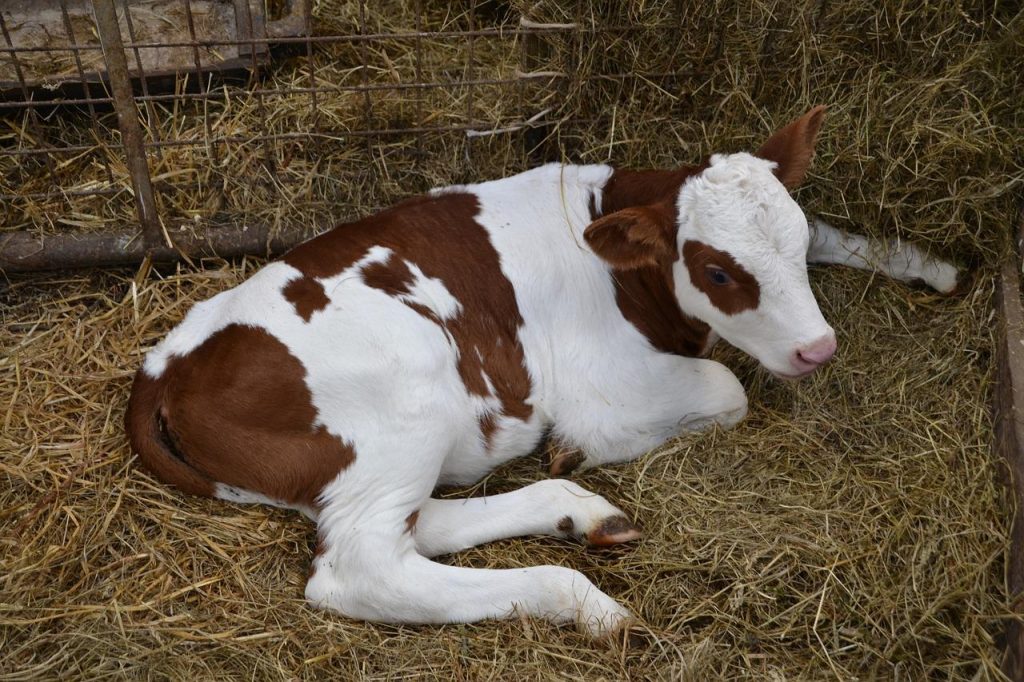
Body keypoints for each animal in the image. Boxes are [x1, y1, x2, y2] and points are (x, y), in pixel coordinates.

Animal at [126, 106, 958, 639]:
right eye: (718, 272)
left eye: (793, 237)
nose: (818, 348)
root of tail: (164, 367)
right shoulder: (601, 385)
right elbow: (725, 391)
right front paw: (581, 447)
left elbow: (843, 238)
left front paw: (936, 266)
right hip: (409, 394)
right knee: (363, 566)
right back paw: (583, 603)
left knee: (417, 524)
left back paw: (581, 516)